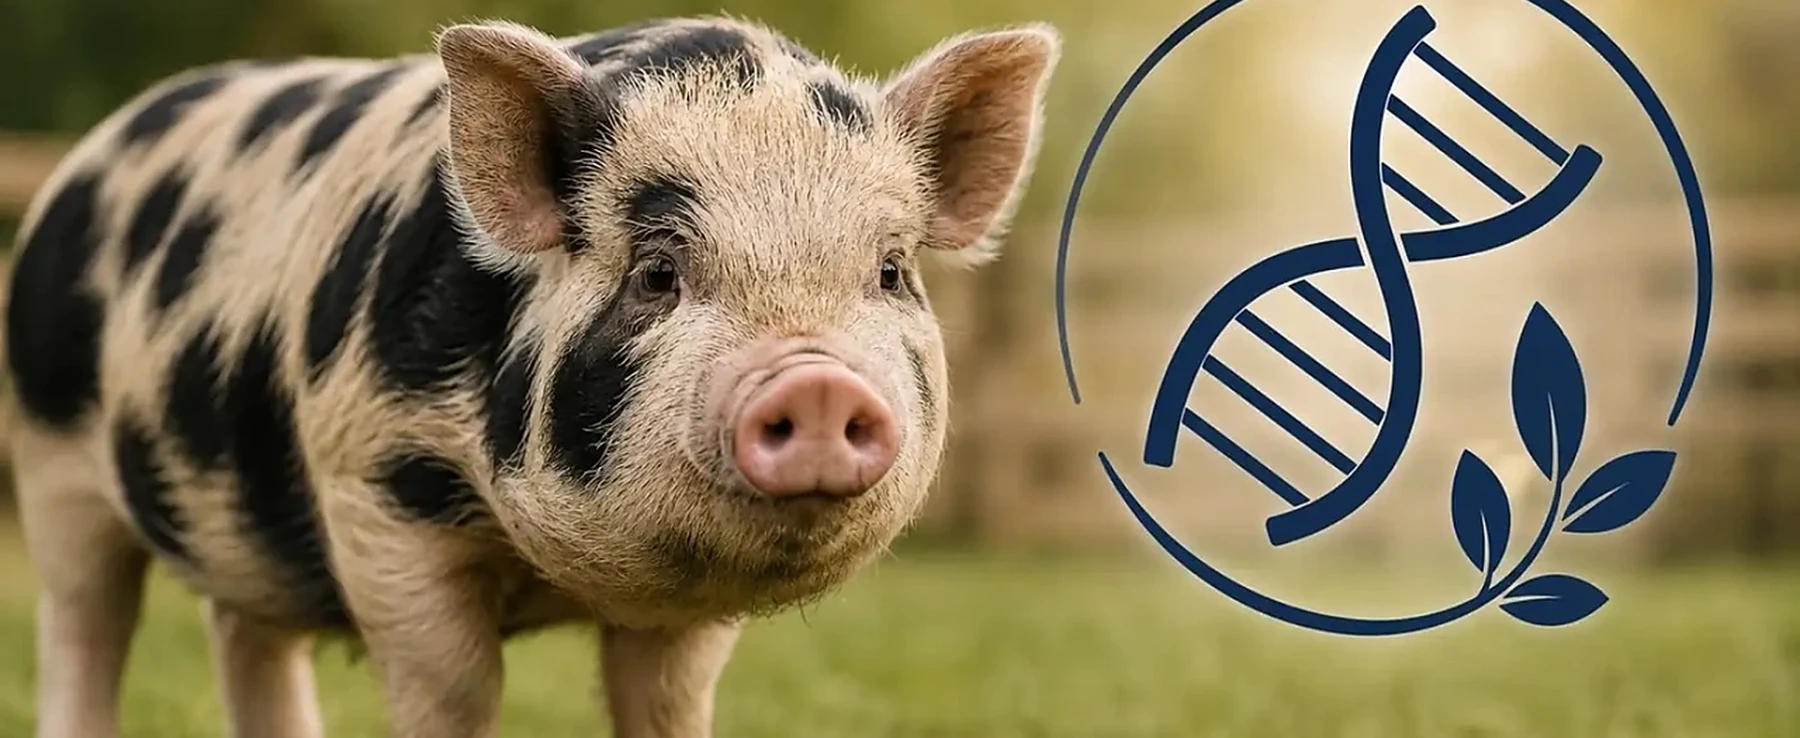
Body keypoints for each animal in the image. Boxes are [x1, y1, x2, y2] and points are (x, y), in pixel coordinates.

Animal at [3, 15, 1059, 738]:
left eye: (888, 272)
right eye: (657, 274)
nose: (816, 382)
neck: (551, 577)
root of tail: (88, 156)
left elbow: (666, 700)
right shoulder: (376, 490)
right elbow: (453, 687)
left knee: (246, 636)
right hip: (53, 466)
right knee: (85, 623)